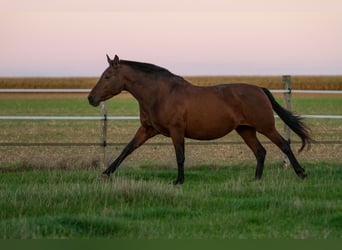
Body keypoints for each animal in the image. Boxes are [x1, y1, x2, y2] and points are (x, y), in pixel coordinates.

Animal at [88, 54, 312, 184]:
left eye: (107, 76)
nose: (91, 98)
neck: (160, 94)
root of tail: (260, 89)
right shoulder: (147, 130)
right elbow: (127, 149)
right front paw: (106, 173)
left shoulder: (176, 131)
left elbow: (180, 156)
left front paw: (178, 181)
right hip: (246, 129)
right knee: (260, 151)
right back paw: (255, 179)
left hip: (265, 126)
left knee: (284, 145)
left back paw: (301, 173)